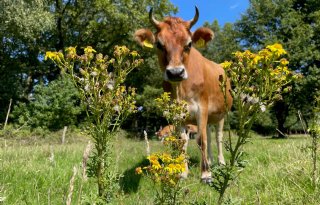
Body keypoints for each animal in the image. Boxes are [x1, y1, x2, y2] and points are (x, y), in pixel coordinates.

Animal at [135, 6, 232, 183]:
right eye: (159, 44)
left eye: (189, 44)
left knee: (217, 137)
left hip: (221, 114)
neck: (181, 90)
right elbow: (182, 141)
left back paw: (220, 162)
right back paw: (210, 160)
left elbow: (201, 140)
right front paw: (182, 172)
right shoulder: (177, 114)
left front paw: (206, 174)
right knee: (208, 135)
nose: (175, 72)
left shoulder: (202, 108)